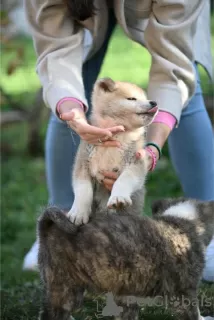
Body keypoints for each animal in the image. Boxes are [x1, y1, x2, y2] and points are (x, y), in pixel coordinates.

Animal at [37, 199, 213, 318]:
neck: (182, 220)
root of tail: (48, 226)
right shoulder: (185, 290)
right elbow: (193, 312)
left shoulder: (126, 292)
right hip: (65, 287)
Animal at [67, 77, 158, 225]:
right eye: (132, 98)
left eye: (145, 98)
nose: (154, 102)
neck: (117, 136)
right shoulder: (83, 162)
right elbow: (83, 190)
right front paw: (78, 212)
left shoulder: (135, 161)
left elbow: (124, 180)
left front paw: (118, 198)